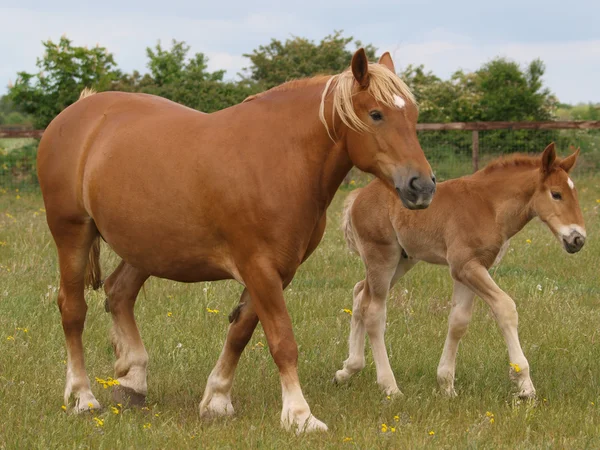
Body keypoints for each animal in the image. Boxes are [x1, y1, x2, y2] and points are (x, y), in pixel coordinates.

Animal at [38, 50, 436, 432]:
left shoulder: (277, 272)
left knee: (118, 293)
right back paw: (83, 396)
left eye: (413, 115)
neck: (282, 158)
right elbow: (282, 340)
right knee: (73, 309)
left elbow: (241, 332)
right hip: (72, 233)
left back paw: (133, 381)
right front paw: (299, 415)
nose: (422, 186)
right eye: (376, 114)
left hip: (146, 248)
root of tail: (78, 114)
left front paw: (217, 400)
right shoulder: (259, 267)